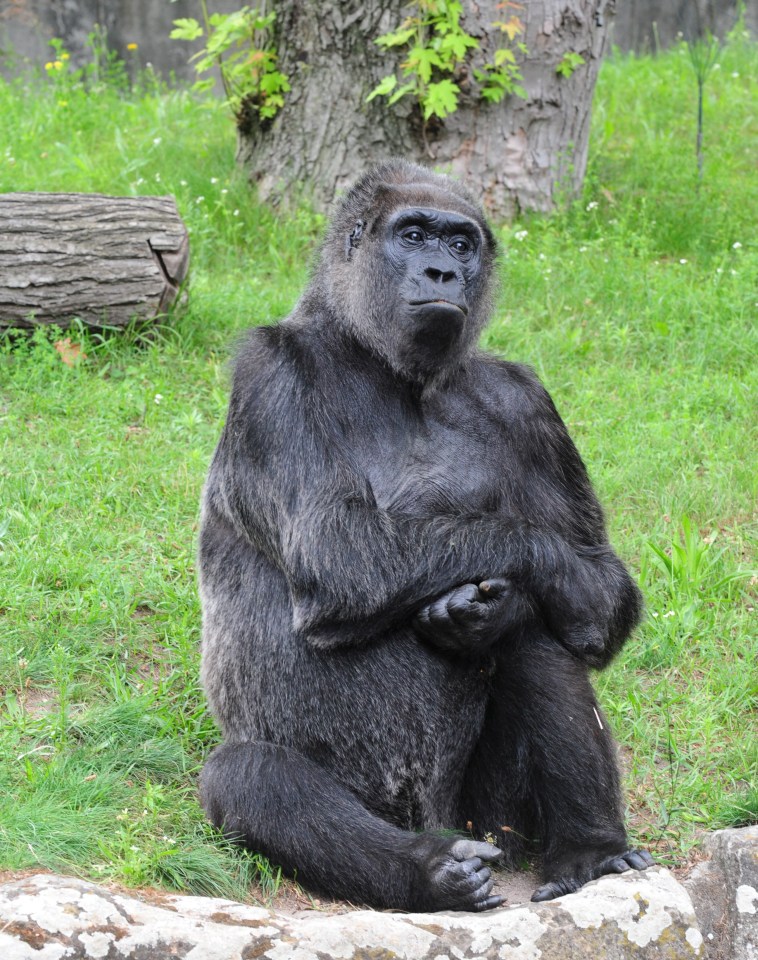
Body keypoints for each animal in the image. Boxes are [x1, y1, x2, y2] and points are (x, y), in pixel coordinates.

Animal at [197, 161, 652, 912]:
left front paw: (496, 607)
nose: (442, 271)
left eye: (461, 244)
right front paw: (520, 573)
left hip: (486, 822)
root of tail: (432, 821)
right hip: (400, 815)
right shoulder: (272, 376)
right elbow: (345, 557)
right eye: (412, 235)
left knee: (542, 637)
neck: (377, 358)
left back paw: (588, 850)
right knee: (247, 775)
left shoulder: (526, 400)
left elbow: (598, 582)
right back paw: (429, 871)